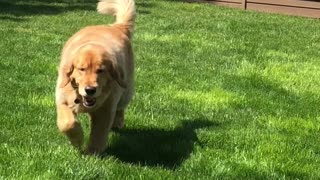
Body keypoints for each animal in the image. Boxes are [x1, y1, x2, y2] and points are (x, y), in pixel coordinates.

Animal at [55, 0, 135, 155]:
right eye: (82, 69)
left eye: (100, 70)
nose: (90, 90)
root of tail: (116, 27)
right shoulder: (62, 98)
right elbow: (67, 123)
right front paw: (77, 140)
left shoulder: (106, 109)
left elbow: (99, 133)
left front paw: (92, 152)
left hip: (126, 88)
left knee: (121, 107)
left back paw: (118, 122)